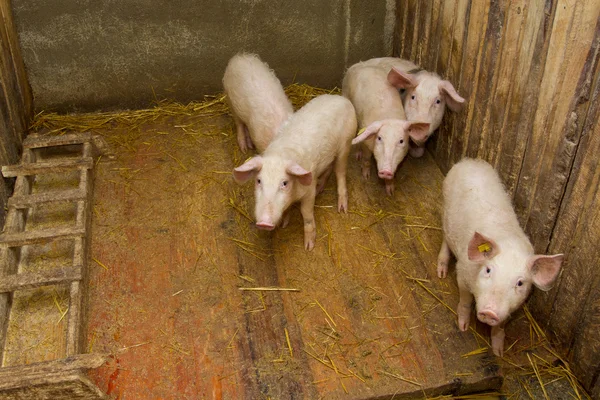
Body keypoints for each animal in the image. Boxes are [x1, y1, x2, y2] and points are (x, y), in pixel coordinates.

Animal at [233, 94, 356, 250]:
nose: (264, 223)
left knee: (340, 172)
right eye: (259, 181)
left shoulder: (308, 190)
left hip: (346, 143)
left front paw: (309, 246)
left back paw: (342, 208)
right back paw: (320, 188)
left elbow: (306, 213)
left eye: (284, 183)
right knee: (329, 168)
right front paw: (284, 223)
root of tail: (342, 98)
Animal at [342, 63, 432, 196]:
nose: (386, 171)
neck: (389, 117)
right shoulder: (367, 142)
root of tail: (359, 64)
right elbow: (366, 159)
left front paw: (391, 192)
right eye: (379, 138)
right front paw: (366, 176)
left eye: (401, 141)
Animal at [436, 158, 564, 354]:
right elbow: (465, 301)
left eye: (520, 283)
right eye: (488, 270)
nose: (489, 312)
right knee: (445, 238)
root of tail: (469, 161)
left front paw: (499, 352)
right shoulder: (462, 274)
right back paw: (441, 272)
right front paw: (463, 327)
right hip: (445, 210)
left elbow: (500, 326)